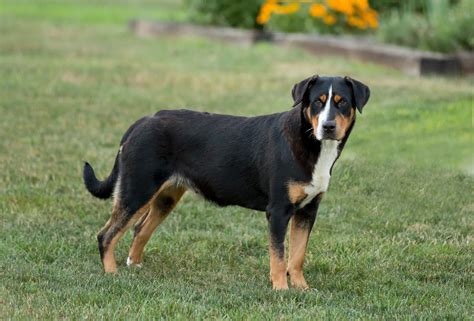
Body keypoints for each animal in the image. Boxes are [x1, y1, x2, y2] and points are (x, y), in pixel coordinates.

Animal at [82, 75, 370, 290]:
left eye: (342, 102)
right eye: (318, 102)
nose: (328, 126)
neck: (310, 142)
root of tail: (143, 120)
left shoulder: (307, 211)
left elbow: (297, 256)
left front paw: (302, 288)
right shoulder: (278, 211)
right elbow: (278, 256)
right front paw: (281, 290)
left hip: (165, 197)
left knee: (140, 229)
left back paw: (135, 265)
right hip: (137, 190)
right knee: (106, 235)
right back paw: (112, 274)